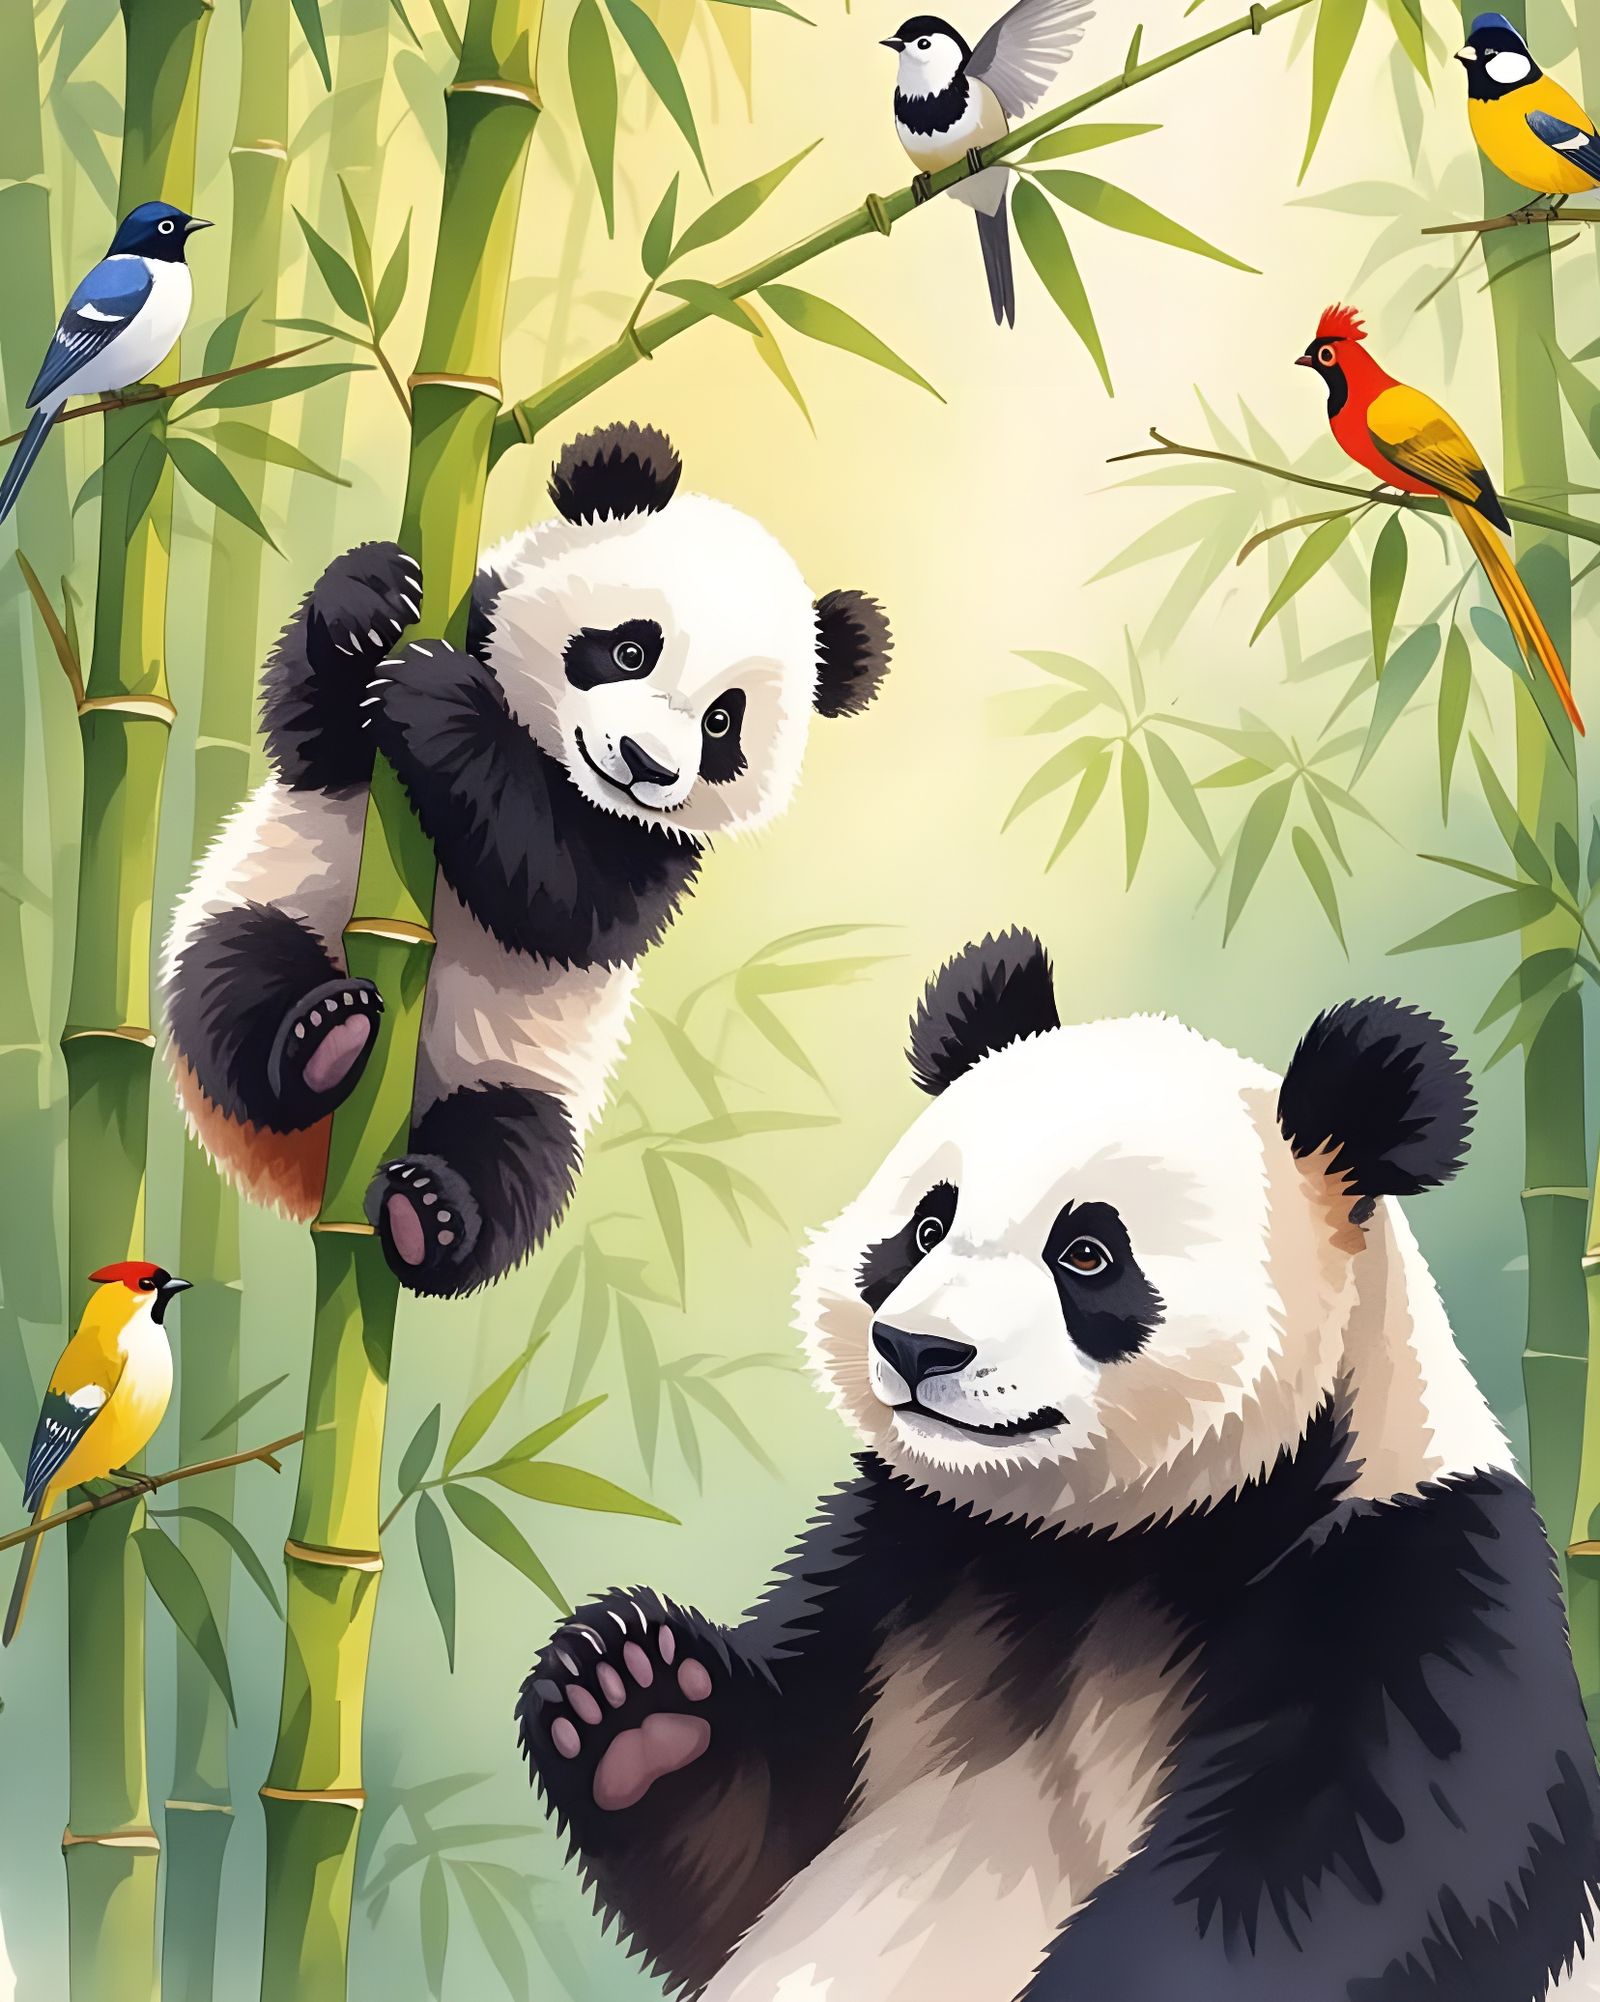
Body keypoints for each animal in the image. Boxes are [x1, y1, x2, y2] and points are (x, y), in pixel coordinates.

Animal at [161, 423, 891, 1297]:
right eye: (630, 649)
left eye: (722, 722)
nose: (643, 763)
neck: (554, 752)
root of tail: (309, 1183)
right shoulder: (461, 629)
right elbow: (313, 739)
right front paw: (371, 600)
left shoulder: (660, 848)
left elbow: (564, 895)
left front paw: (438, 699)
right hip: (268, 899)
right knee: (234, 976)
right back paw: (322, 1039)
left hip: (517, 1074)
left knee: (515, 1155)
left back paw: (426, 1213)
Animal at [516, 927, 1600, 2001]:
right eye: (926, 1227)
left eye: (1086, 1253)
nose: (916, 1348)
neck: (1101, 1539)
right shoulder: (903, 1552)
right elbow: (751, 1859)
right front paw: (630, 1698)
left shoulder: (1414, 1578)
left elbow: (1327, 1883)